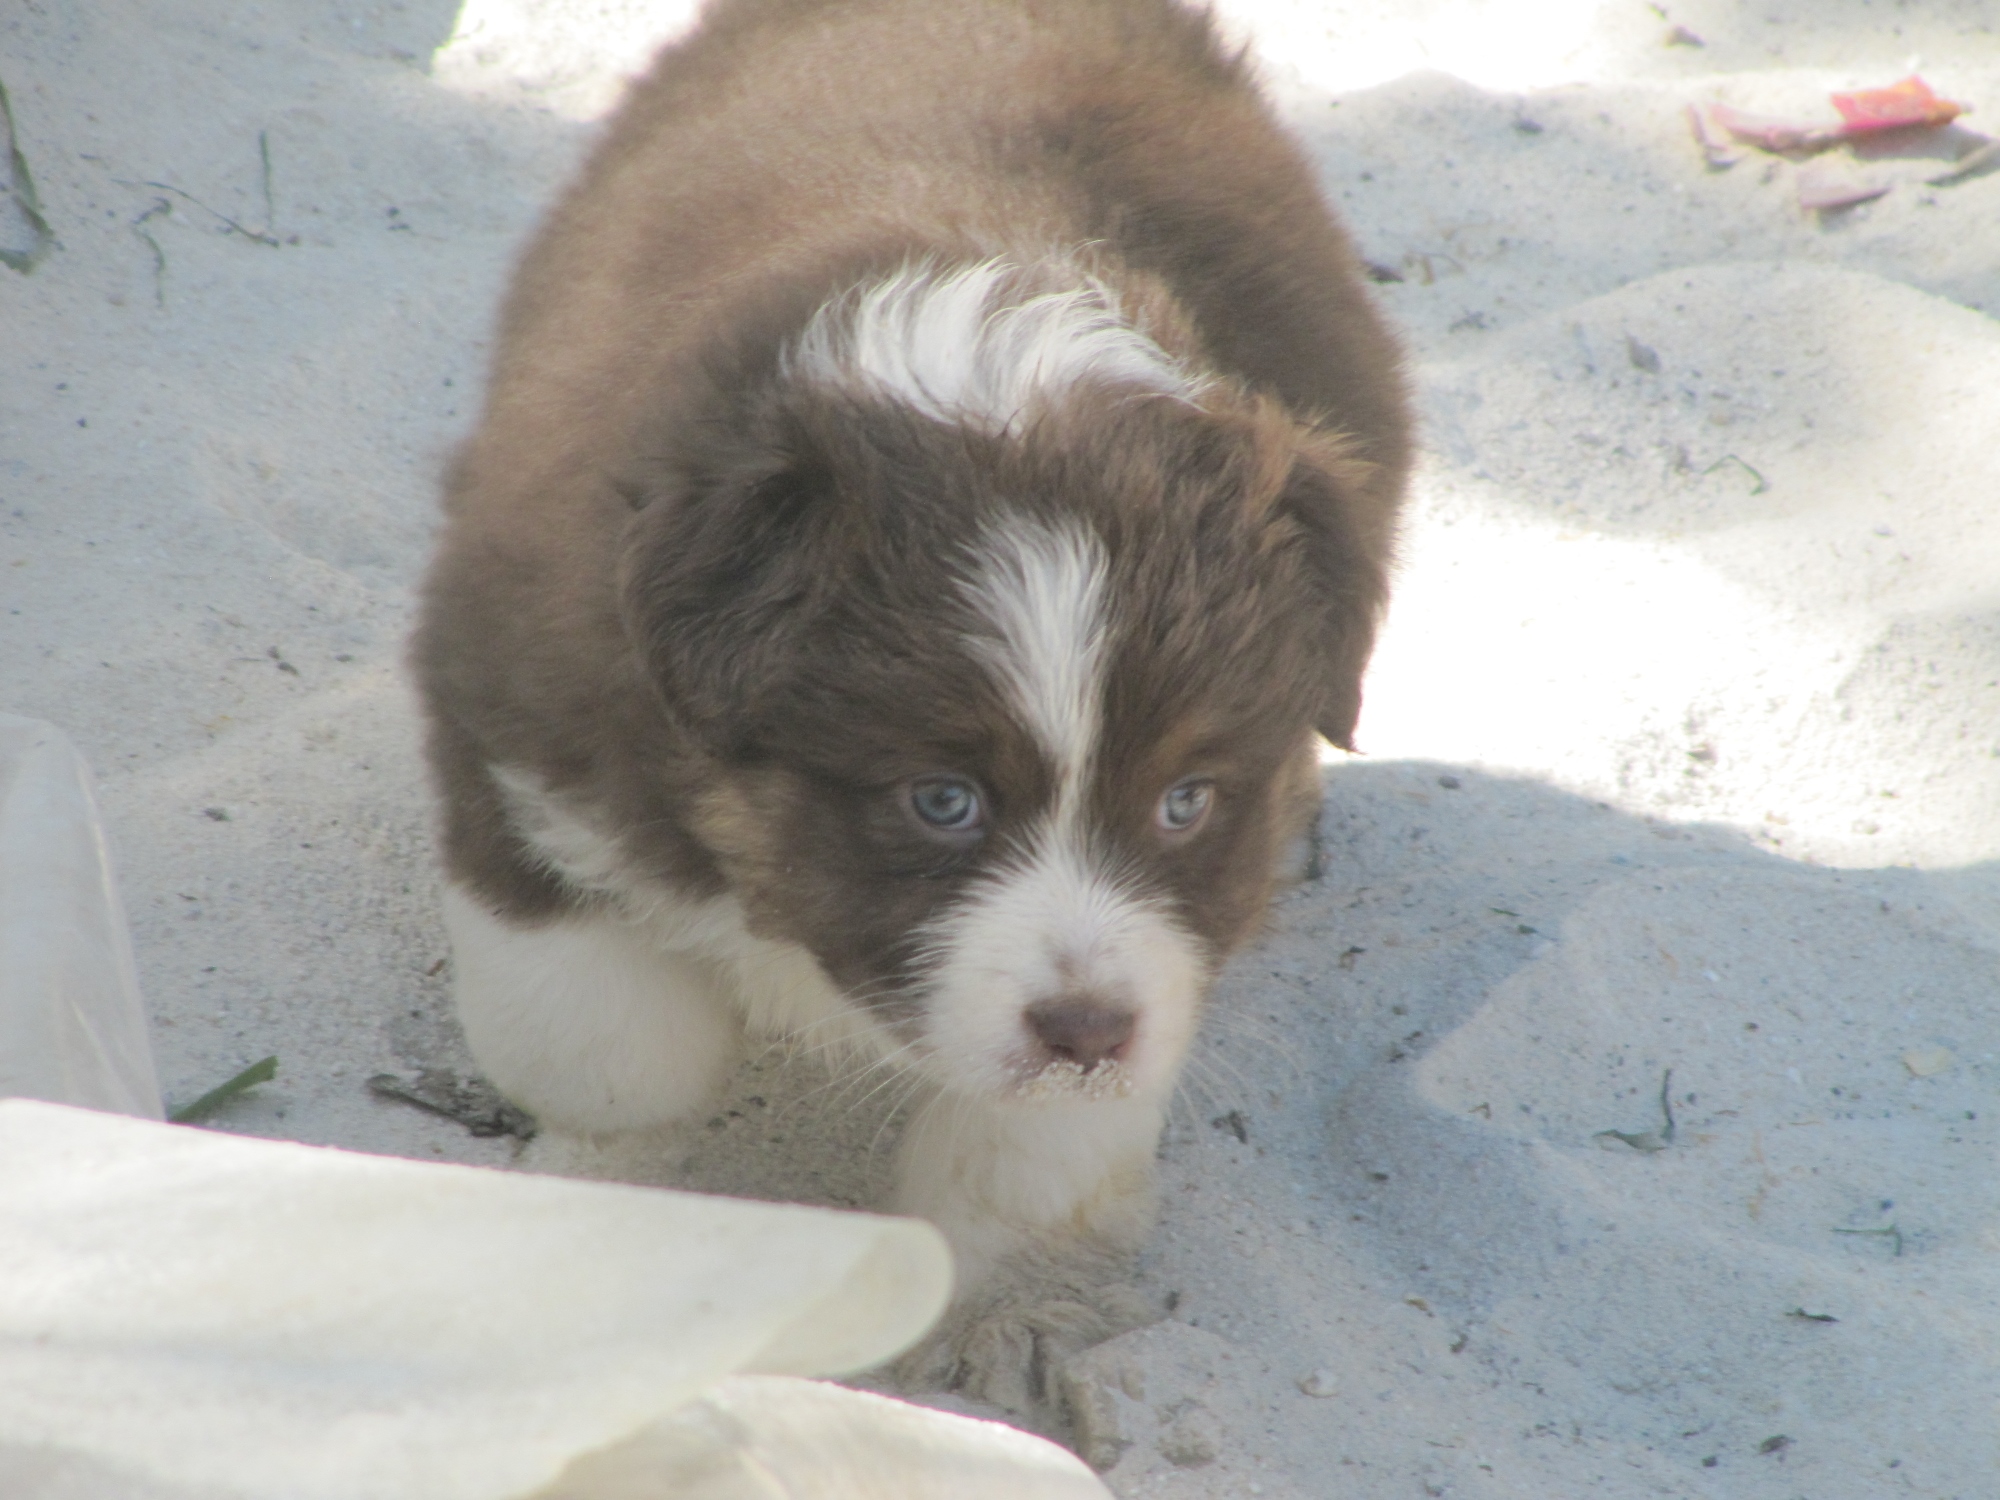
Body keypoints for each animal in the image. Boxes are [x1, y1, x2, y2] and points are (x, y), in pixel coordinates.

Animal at [413, 0, 1409, 1413]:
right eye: (942, 801)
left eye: (1185, 801)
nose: (1087, 1033)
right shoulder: (514, 736)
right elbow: (612, 1047)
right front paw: (604, 1215)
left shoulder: (1157, 960)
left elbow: (1025, 1149)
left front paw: (1012, 1315)